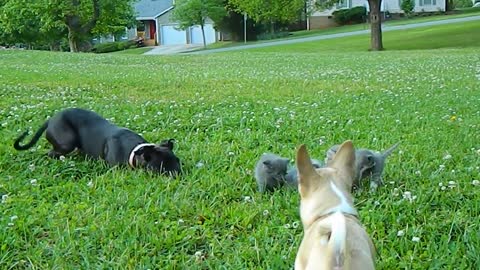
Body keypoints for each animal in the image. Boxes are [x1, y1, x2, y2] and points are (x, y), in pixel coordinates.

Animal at [14, 107, 182, 175]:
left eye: (178, 161)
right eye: (160, 168)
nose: (179, 174)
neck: (134, 150)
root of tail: (50, 120)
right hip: (66, 142)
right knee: (51, 153)